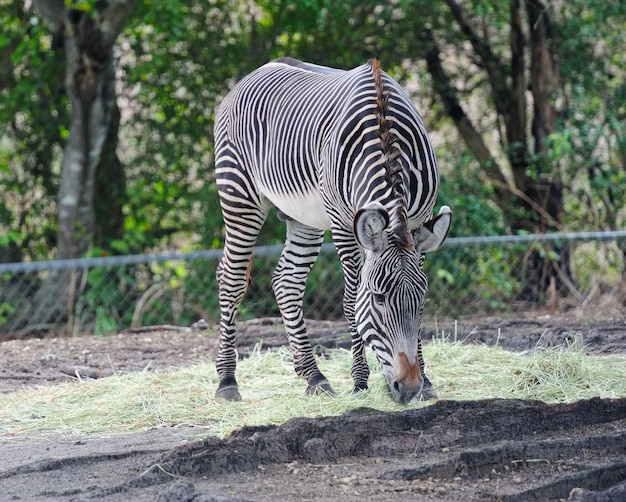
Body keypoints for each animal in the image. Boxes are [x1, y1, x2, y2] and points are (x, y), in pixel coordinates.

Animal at [213, 57, 448, 404]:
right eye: (378, 298)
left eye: (421, 299)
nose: (407, 388)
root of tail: (256, 71)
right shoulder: (342, 224)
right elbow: (350, 301)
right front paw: (360, 382)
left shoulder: (419, 221)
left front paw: (428, 383)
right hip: (239, 196)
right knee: (230, 279)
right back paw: (227, 381)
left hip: (304, 217)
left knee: (287, 282)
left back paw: (314, 377)